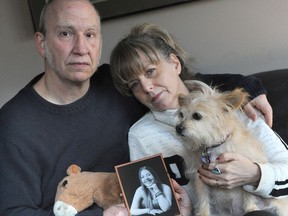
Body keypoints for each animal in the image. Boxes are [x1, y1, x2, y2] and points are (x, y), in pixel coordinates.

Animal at [176, 80, 286, 216]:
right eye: (181, 115)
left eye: (197, 116)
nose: (178, 128)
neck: (214, 146)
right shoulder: (200, 177)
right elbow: (203, 198)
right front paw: (203, 213)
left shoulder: (244, 173)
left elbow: (247, 194)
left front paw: (250, 208)